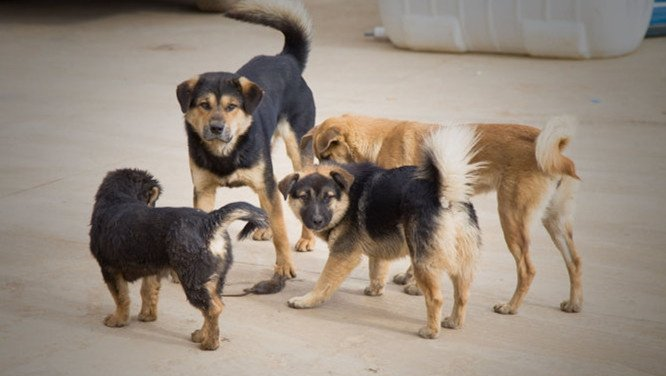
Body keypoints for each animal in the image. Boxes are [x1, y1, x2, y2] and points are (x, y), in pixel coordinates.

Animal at [88, 169, 268, 352]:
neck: (119, 199)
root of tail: (209, 222)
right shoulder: (152, 269)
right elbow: (148, 292)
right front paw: (147, 316)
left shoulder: (109, 268)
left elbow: (121, 297)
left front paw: (118, 320)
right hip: (213, 279)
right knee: (213, 305)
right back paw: (201, 335)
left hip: (193, 279)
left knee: (213, 309)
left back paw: (210, 344)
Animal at [174, 0, 314, 294]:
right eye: (203, 105)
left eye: (231, 107)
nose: (216, 128)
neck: (224, 152)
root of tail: (285, 59)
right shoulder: (203, 190)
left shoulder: (264, 180)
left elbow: (282, 233)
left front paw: (284, 266)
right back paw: (265, 226)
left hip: (298, 148)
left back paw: (306, 238)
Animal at [278, 125, 482, 338]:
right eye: (304, 197)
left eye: (329, 197)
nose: (317, 220)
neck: (348, 195)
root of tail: (445, 194)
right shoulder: (378, 245)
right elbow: (377, 269)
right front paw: (375, 290)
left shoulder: (343, 255)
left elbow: (324, 282)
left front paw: (306, 300)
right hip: (461, 264)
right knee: (462, 295)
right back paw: (454, 322)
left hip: (422, 262)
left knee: (436, 298)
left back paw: (431, 331)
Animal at [298, 114, 580, 314]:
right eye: (318, 157)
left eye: (327, 155)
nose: (317, 174)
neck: (380, 141)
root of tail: (558, 152)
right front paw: (409, 280)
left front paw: (411, 284)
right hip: (554, 220)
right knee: (575, 260)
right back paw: (574, 303)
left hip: (512, 217)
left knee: (528, 268)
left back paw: (511, 307)